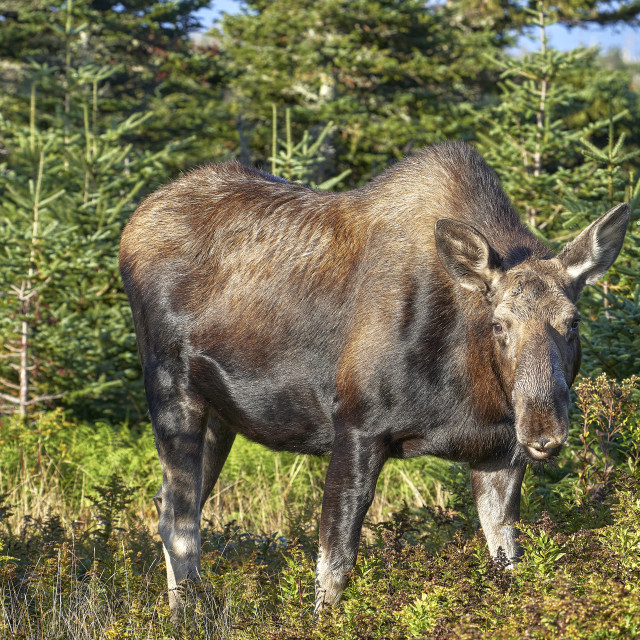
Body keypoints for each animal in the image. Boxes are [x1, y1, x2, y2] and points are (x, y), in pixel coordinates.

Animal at [120, 142, 632, 612]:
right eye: (499, 324)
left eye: (573, 321)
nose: (544, 431)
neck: (471, 387)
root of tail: (131, 227)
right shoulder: (358, 426)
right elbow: (334, 568)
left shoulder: (497, 453)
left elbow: (508, 561)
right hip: (171, 390)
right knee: (180, 521)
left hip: (220, 415)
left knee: (169, 505)